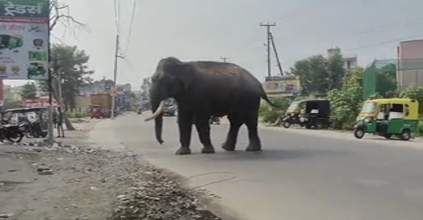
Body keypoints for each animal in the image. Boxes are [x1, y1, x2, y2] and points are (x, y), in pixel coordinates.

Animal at [145, 56, 278, 155]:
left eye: (164, 80)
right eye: (153, 79)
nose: (162, 141)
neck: (183, 64)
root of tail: (259, 85)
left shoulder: (200, 93)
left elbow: (200, 120)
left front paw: (207, 151)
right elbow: (183, 120)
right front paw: (181, 152)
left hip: (249, 99)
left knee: (249, 121)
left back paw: (251, 149)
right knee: (235, 121)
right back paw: (227, 148)